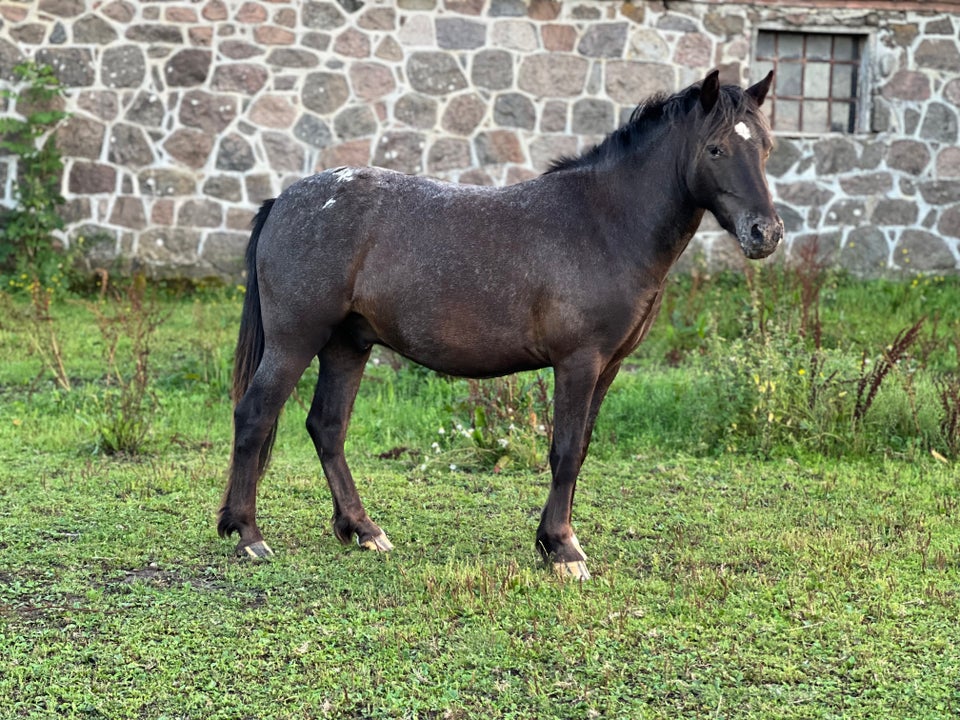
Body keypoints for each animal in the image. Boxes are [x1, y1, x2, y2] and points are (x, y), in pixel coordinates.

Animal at [221, 70, 784, 584]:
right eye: (715, 149)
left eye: (767, 148)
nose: (766, 233)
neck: (603, 224)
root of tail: (282, 201)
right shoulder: (578, 363)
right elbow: (564, 451)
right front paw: (563, 550)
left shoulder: (608, 367)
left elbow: (581, 449)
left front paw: (556, 541)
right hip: (295, 342)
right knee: (255, 415)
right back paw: (248, 535)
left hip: (346, 345)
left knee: (327, 426)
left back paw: (363, 529)